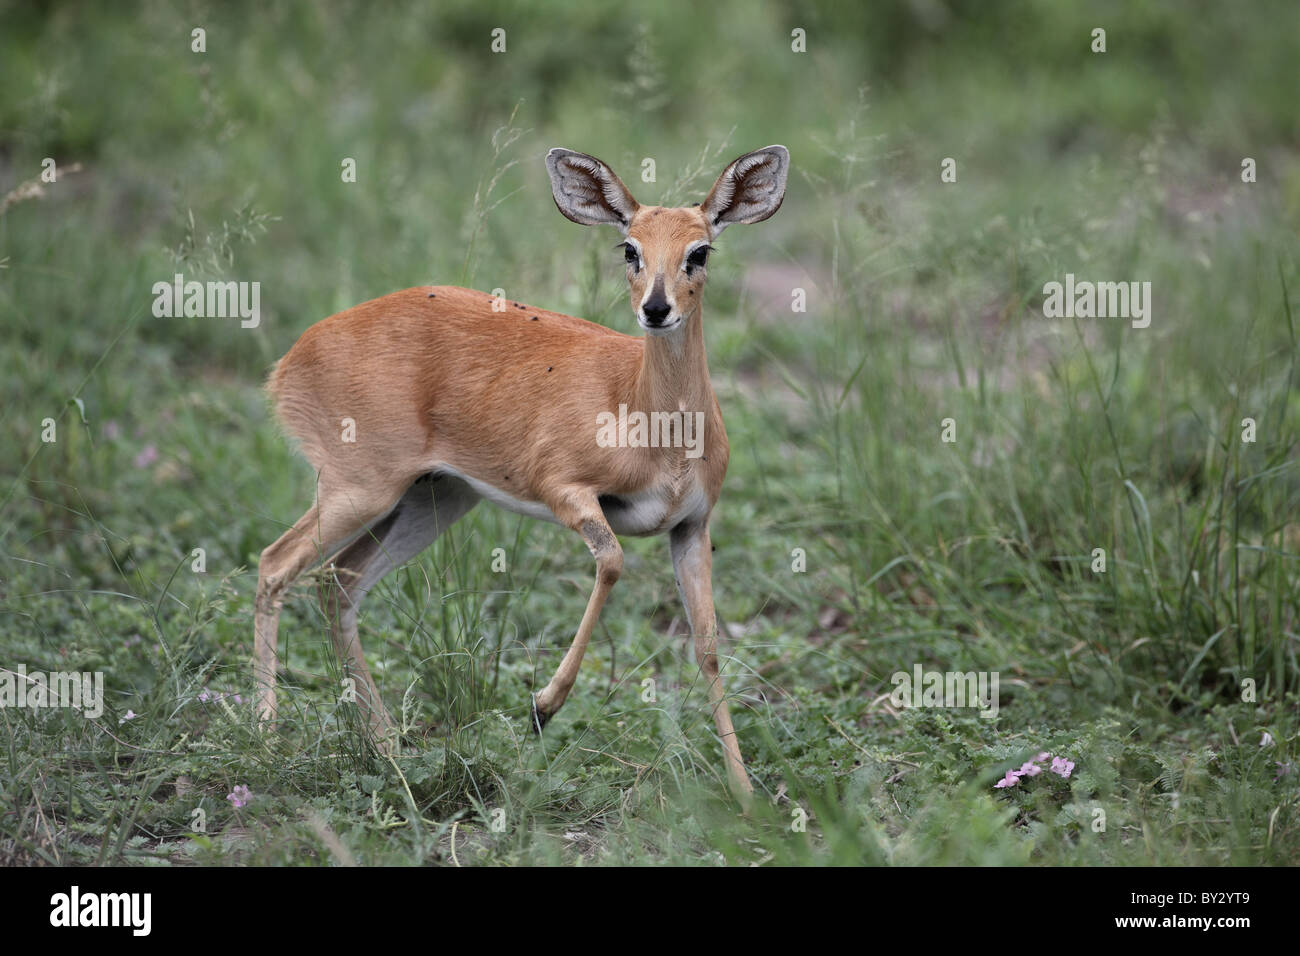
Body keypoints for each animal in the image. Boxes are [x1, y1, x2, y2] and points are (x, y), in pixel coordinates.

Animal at [248, 143, 785, 801]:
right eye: (629, 247)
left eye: (699, 250)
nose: (656, 309)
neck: (647, 418)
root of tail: (291, 359)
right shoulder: (565, 491)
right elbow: (612, 562)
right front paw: (542, 705)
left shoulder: (691, 526)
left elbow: (707, 647)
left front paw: (745, 793)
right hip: (359, 490)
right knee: (276, 565)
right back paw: (266, 737)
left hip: (434, 499)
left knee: (339, 582)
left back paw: (386, 746)